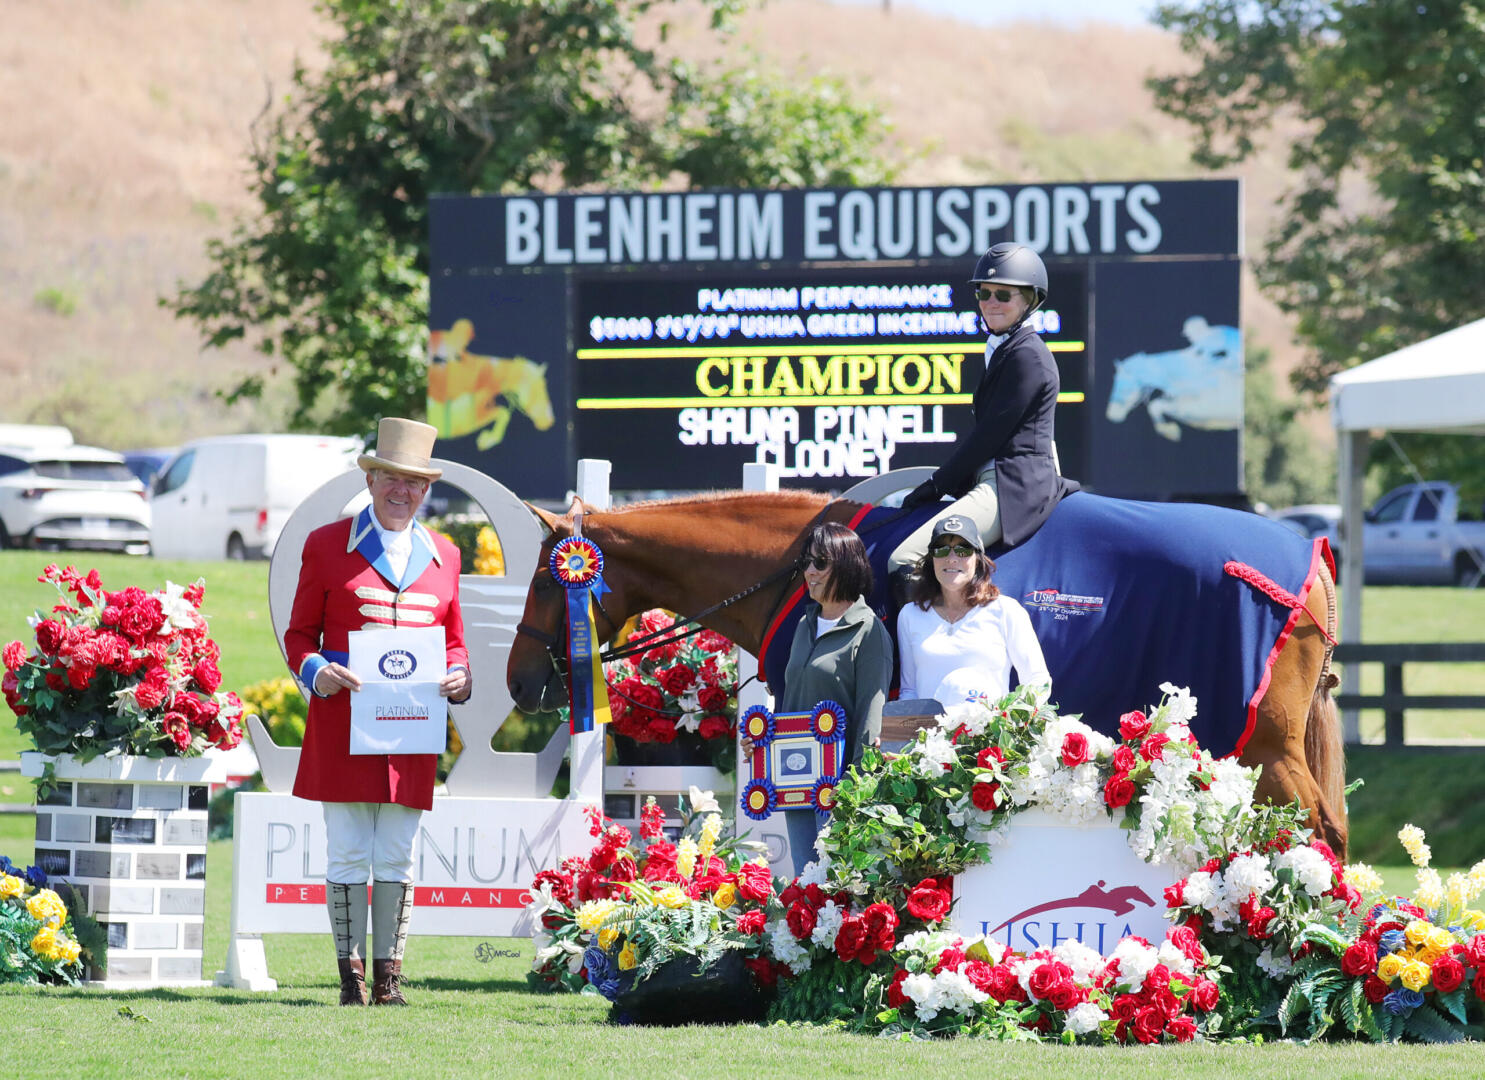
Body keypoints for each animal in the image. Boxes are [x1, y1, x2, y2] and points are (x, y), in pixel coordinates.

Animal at [507, 490, 1348, 855]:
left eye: (551, 577)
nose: (518, 682)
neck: (799, 563)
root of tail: (1304, 561)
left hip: (1263, 745)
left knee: (1313, 824)